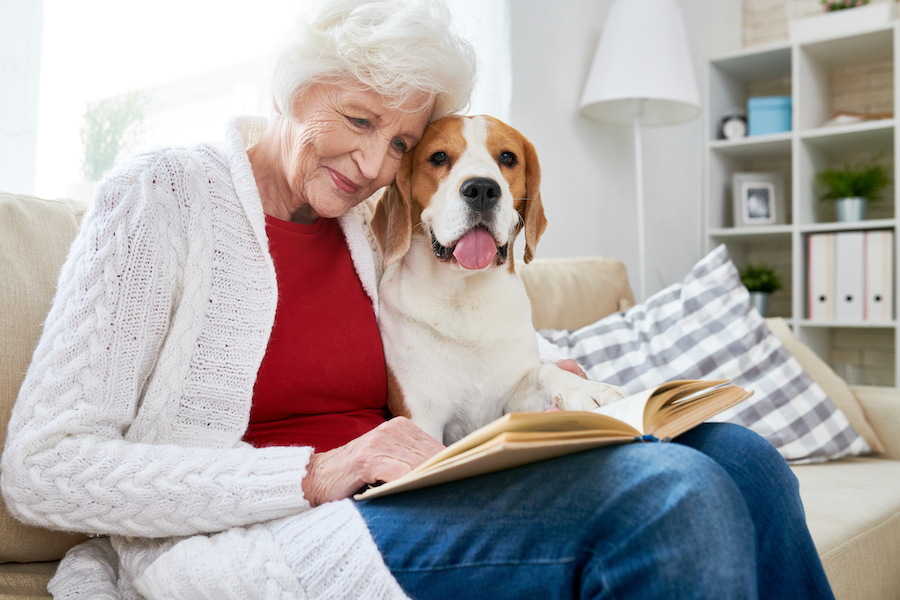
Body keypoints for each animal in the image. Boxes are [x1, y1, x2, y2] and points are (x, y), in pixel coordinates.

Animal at [372, 116, 624, 446]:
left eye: (507, 157)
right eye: (438, 157)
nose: (481, 188)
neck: (466, 297)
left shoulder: (511, 398)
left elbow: (545, 372)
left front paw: (588, 389)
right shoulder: (421, 417)